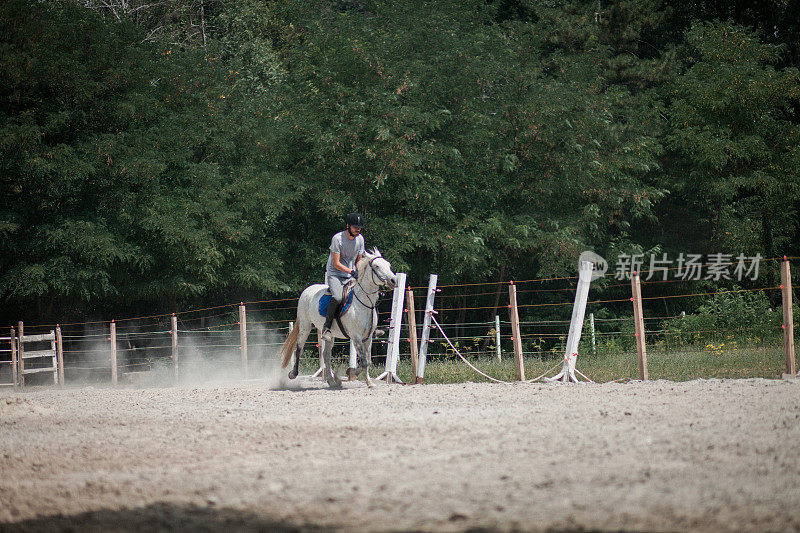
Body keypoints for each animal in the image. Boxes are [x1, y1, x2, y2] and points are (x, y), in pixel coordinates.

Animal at [280, 247, 398, 388]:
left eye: (389, 265)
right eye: (377, 266)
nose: (394, 280)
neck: (363, 303)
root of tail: (307, 290)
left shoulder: (368, 337)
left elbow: (368, 360)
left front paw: (366, 380)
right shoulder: (356, 336)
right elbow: (364, 360)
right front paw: (354, 374)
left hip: (330, 335)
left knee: (326, 355)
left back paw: (331, 380)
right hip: (305, 326)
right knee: (299, 348)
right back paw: (293, 374)